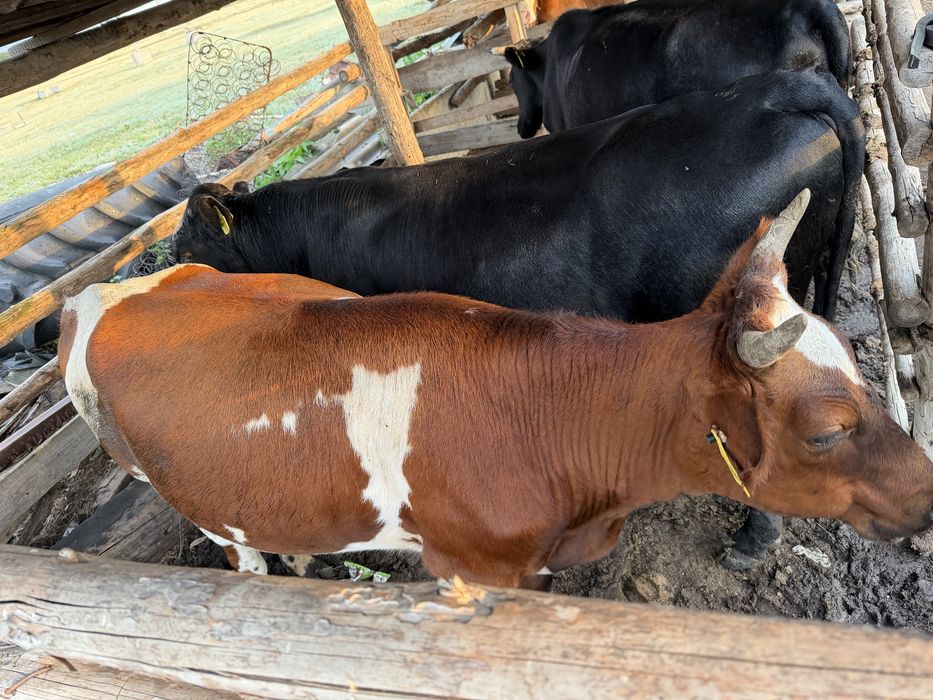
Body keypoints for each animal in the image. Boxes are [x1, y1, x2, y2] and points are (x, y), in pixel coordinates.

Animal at [63, 193, 933, 588]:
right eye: (825, 429)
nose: (929, 494)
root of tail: (106, 291)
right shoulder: (469, 566)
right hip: (178, 490)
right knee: (234, 548)